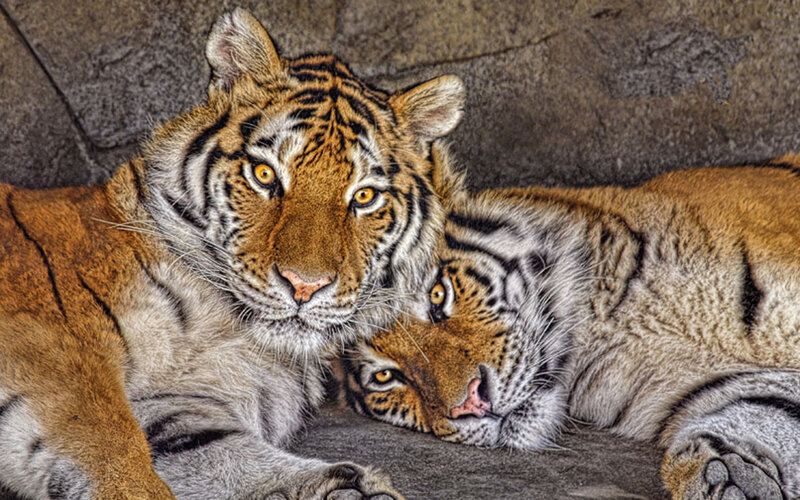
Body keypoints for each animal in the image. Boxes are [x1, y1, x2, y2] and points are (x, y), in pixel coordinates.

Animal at [0, 8, 465, 500]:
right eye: (264, 175)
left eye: (364, 197)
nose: (305, 285)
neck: (228, 330)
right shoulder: (58, 358)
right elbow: (116, 457)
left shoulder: (172, 405)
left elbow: (225, 455)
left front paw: (349, 487)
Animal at [338, 153, 800, 499]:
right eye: (385, 377)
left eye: (436, 295)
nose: (471, 405)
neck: (607, 331)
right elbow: (766, 408)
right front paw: (731, 474)